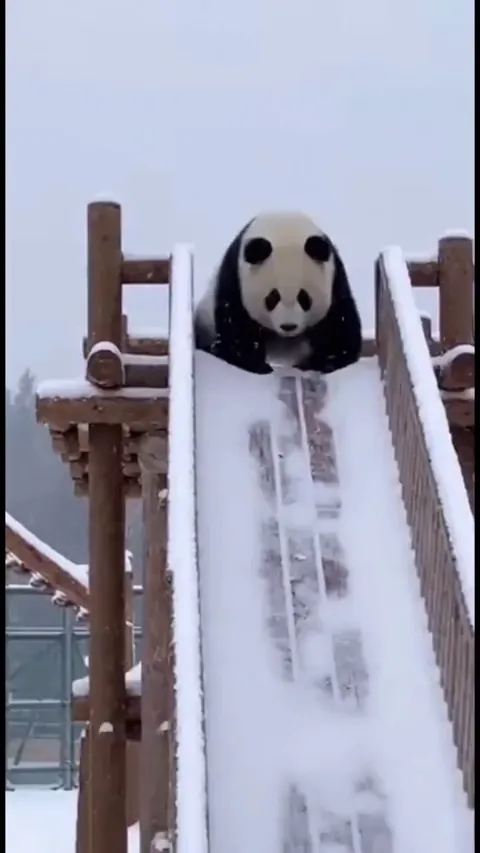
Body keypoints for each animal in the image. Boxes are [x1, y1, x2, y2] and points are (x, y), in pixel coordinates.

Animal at [194, 211, 362, 375]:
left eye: (304, 298)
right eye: (272, 297)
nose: (288, 326)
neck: (283, 227)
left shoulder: (335, 277)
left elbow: (338, 324)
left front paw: (321, 363)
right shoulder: (235, 278)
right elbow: (236, 324)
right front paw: (257, 365)